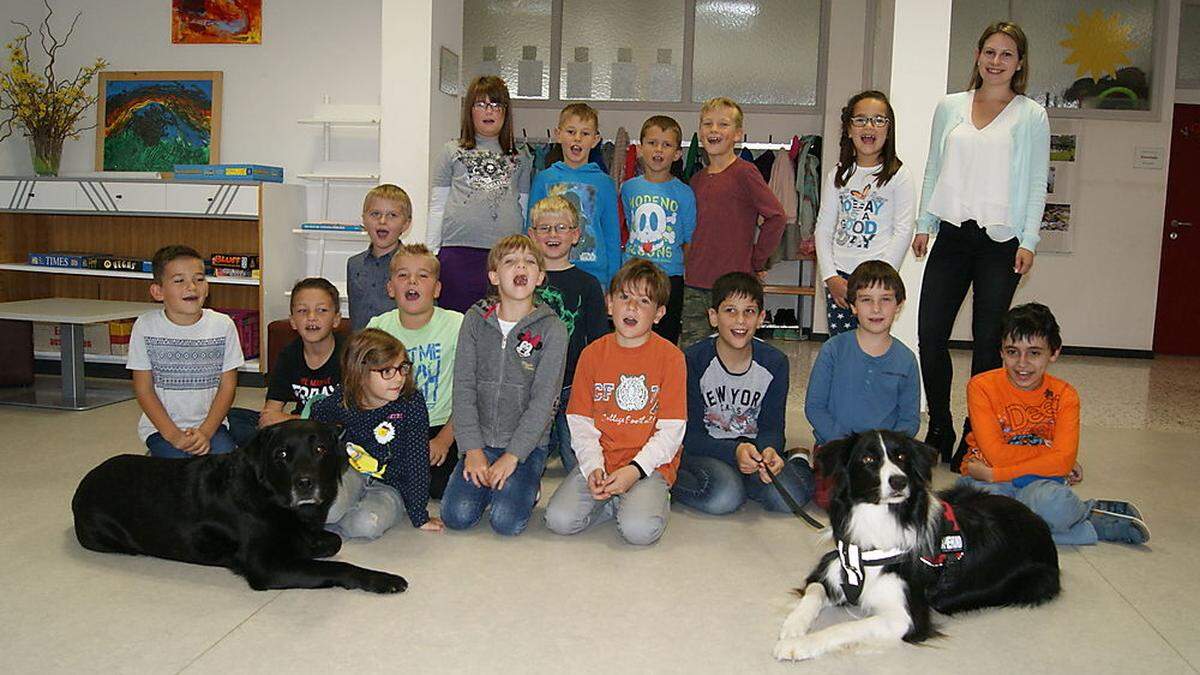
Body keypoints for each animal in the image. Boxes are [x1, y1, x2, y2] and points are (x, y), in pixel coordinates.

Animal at [72, 417, 408, 590]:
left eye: (320, 449)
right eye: (281, 455)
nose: (304, 483)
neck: (269, 496)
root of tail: (84, 483)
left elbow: (333, 540)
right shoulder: (268, 568)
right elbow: (340, 567)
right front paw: (383, 578)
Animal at [772, 429, 1056, 658]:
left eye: (901, 457)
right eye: (868, 459)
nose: (899, 481)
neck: (877, 525)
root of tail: (1036, 517)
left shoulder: (905, 618)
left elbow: (845, 627)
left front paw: (799, 645)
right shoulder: (831, 570)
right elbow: (813, 592)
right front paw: (793, 627)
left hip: (1036, 582)